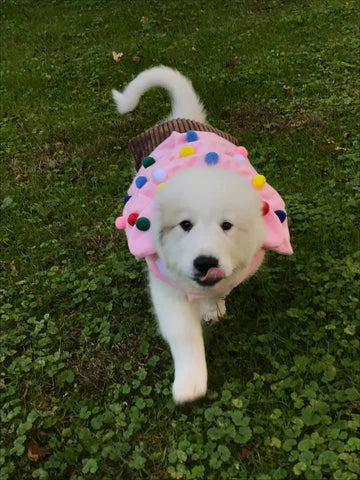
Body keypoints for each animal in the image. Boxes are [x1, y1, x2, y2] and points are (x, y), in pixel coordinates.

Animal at [111, 65, 292, 404]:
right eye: (185, 225)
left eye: (227, 225)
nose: (205, 262)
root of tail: (183, 119)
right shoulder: (166, 285)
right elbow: (184, 333)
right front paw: (190, 382)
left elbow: (219, 288)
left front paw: (213, 307)